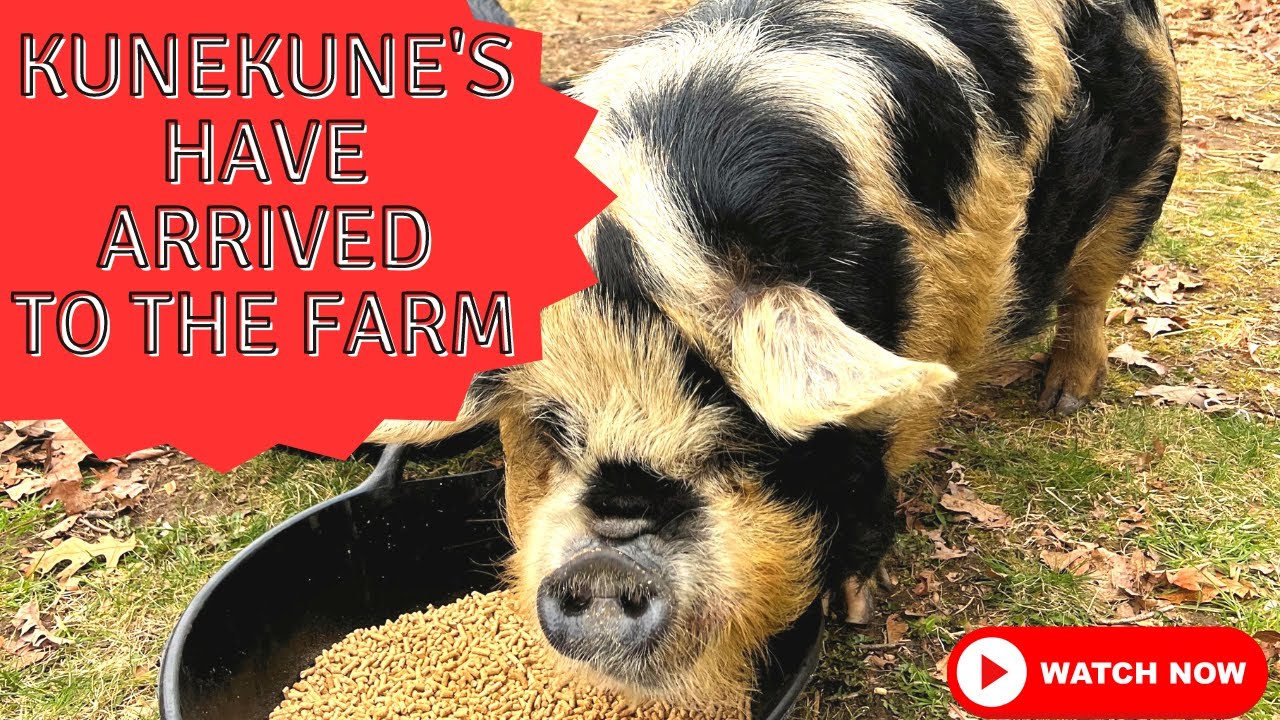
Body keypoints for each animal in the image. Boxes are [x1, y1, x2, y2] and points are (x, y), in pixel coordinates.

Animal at [372, 0, 1182, 707]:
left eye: (740, 438)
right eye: (553, 431)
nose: (604, 566)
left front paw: (855, 608)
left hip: (1146, 175)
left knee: (1091, 288)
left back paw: (1064, 398)